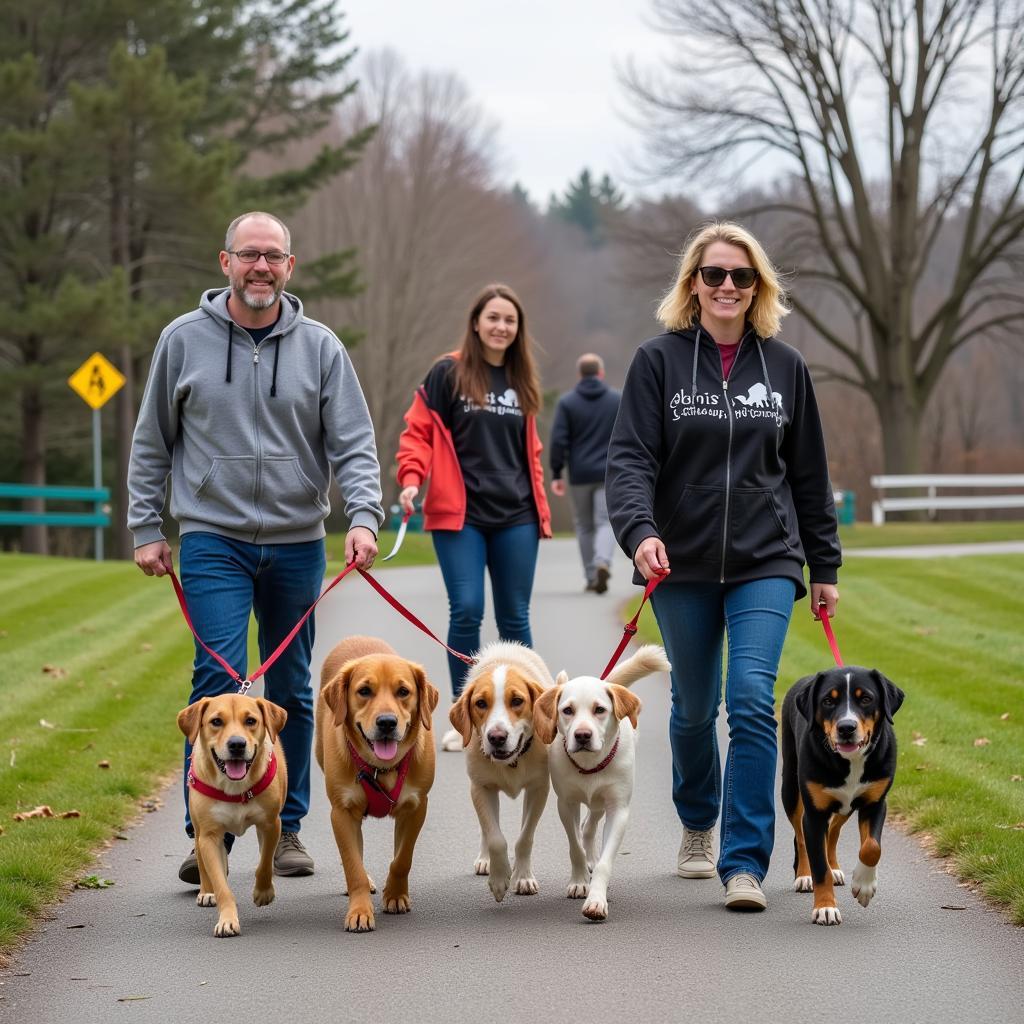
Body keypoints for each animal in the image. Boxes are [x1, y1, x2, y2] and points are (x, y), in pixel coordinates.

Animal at [176, 692, 286, 937]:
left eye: (251, 721)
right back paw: (206, 892)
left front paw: (263, 892)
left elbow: (265, 861)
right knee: (201, 858)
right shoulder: (209, 835)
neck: (235, 787)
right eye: (216, 721)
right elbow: (221, 885)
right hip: (198, 829)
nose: (237, 744)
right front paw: (227, 920)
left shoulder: (271, 824)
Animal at [313, 634, 438, 933]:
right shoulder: (342, 813)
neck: (381, 768)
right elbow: (353, 866)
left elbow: (402, 858)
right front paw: (359, 910)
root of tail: (356, 637)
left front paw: (395, 894)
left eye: (403, 691)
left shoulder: (416, 808)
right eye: (364, 691)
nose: (387, 722)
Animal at [450, 643, 557, 901]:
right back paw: (486, 860)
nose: (496, 738)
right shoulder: (481, 788)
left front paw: (523, 877)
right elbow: (495, 838)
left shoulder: (538, 789)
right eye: (480, 703)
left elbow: (525, 837)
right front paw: (499, 878)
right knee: (487, 829)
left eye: (517, 700)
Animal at [536, 647, 671, 921]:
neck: (590, 764)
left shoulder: (618, 810)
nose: (582, 735)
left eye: (599, 709)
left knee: (590, 826)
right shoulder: (566, 804)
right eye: (567, 710)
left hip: (601, 802)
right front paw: (579, 882)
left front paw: (596, 899)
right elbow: (575, 846)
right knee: (585, 829)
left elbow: (604, 862)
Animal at [782, 667, 905, 925]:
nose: (846, 727)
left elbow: (872, 847)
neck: (851, 762)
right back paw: (804, 876)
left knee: (834, 829)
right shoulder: (814, 814)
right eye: (828, 701)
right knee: (801, 836)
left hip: (846, 805)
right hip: (790, 790)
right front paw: (825, 908)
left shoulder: (875, 803)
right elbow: (819, 866)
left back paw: (835, 868)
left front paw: (864, 885)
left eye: (866, 698)